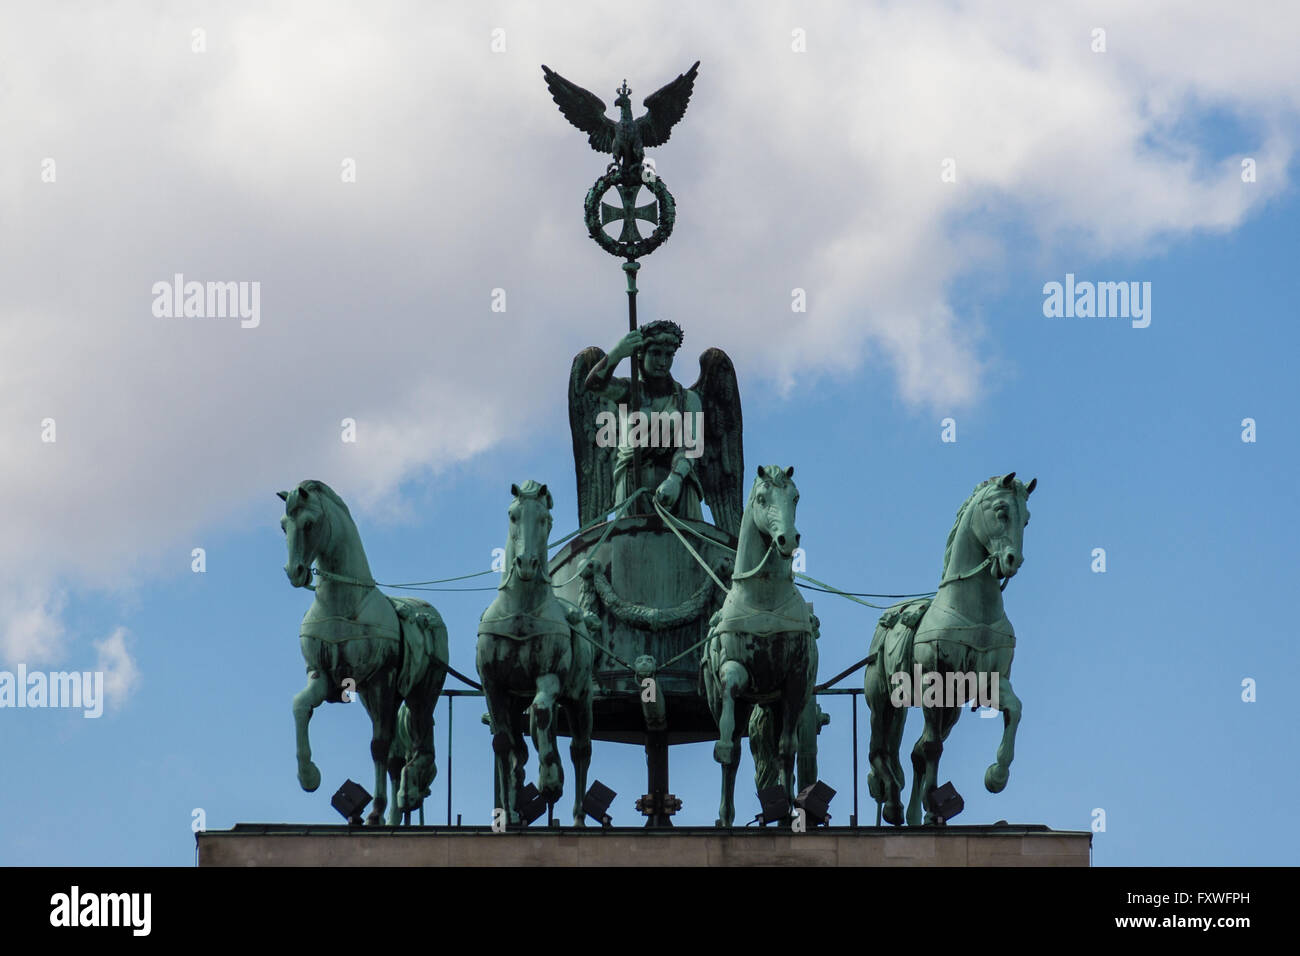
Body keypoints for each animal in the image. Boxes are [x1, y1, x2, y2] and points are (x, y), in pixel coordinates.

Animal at [278, 481, 447, 827]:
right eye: (283, 526)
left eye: (309, 524)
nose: (294, 572)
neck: (343, 603)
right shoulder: (323, 677)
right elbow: (300, 706)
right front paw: (309, 777)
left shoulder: (382, 680)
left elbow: (378, 746)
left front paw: (376, 809)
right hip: (374, 697)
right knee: (396, 757)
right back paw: (396, 812)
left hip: (420, 692)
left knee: (413, 741)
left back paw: (406, 793)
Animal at [475, 481, 595, 827]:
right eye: (512, 515)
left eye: (545, 519)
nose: (526, 564)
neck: (521, 610)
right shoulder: (494, 687)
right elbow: (503, 743)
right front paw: (507, 811)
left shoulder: (548, 677)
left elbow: (542, 712)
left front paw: (551, 781)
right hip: (517, 702)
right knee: (522, 748)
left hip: (580, 697)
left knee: (581, 749)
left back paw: (577, 816)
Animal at [702, 468, 811, 827]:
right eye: (762, 499)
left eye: (795, 497)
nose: (788, 539)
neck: (764, 598)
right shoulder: (735, 669)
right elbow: (731, 691)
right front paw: (722, 743)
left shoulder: (795, 680)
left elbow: (786, 749)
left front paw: (788, 811)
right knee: (734, 754)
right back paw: (725, 816)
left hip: (775, 703)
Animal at [863, 476, 1034, 827]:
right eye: (1001, 511)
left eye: (1026, 520)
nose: (1013, 561)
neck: (973, 611)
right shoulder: (934, 680)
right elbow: (931, 747)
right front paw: (929, 800)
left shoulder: (989, 682)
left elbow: (1015, 709)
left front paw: (997, 775)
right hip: (882, 699)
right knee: (880, 749)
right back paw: (893, 802)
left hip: (950, 708)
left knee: (911, 752)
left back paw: (917, 814)